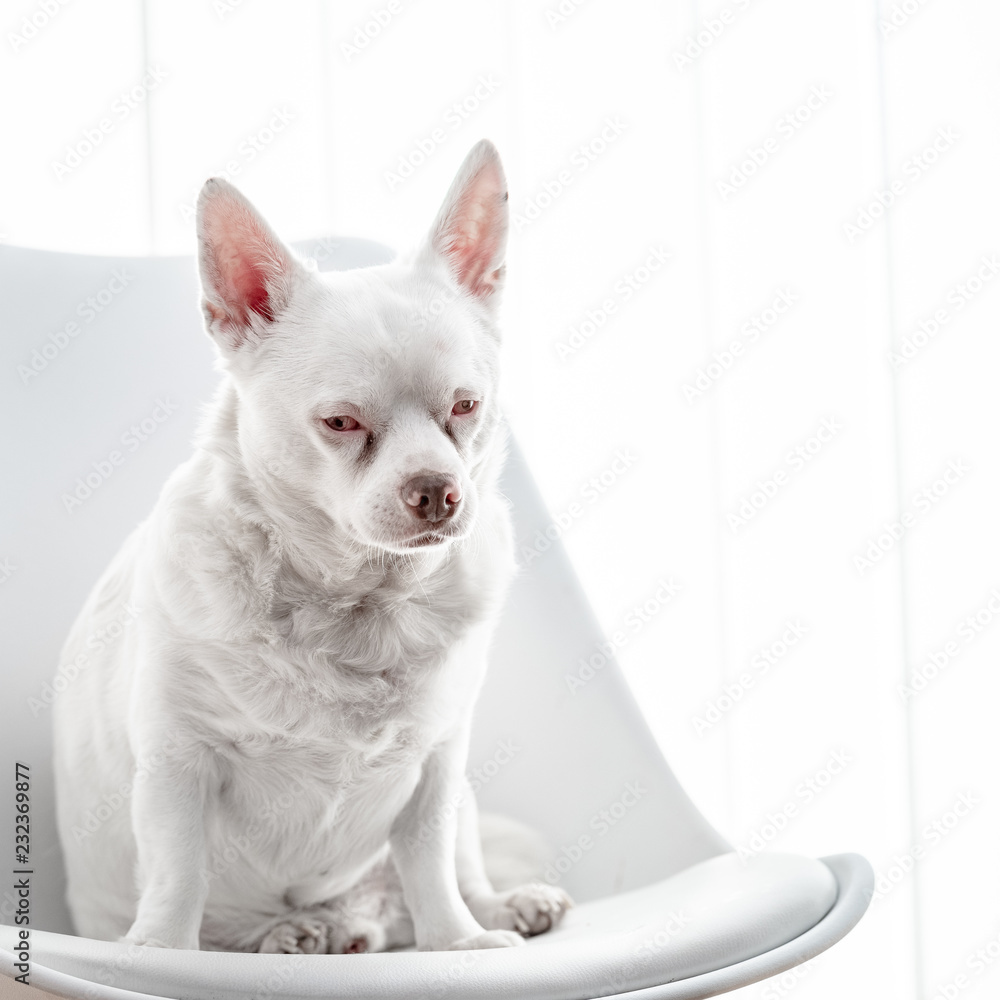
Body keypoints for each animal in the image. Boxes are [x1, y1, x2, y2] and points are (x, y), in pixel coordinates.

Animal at [52, 139, 572, 952]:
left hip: (456, 798)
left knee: (455, 860)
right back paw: (292, 935)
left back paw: (494, 910)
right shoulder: (175, 766)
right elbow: (177, 872)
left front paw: (456, 943)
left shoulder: (435, 766)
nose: (437, 488)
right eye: (340, 423)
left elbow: (429, 858)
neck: (359, 604)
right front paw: (161, 952)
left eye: (466, 407)